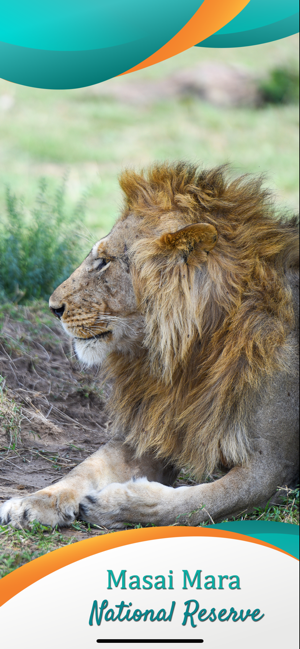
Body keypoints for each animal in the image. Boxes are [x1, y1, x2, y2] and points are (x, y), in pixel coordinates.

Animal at [1, 162, 298, 528]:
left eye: (104, 261)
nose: (53, 308)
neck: (187, 353)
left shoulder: (271, 463)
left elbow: (196, 503)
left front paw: (115, 503)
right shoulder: (150, 430)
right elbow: (84, 468)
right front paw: (32, 502)